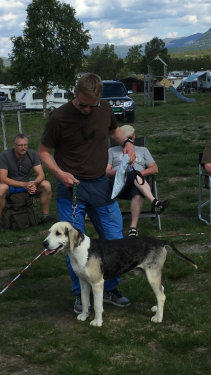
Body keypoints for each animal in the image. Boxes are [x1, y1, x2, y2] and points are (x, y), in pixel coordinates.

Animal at [42, 222, 198, 328]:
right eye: (49, 232)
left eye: (58, 233)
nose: (44, 243)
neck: (80, 250)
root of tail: (160, 241)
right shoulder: (84, 282)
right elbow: (86, 302)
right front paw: (84, 316)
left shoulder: (97, 284)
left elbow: (97, 305)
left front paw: (97, 322)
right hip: (150, 275)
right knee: (162, 291)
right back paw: (156, 309)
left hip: (152, 276)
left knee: (161, 295)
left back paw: (158, 318)